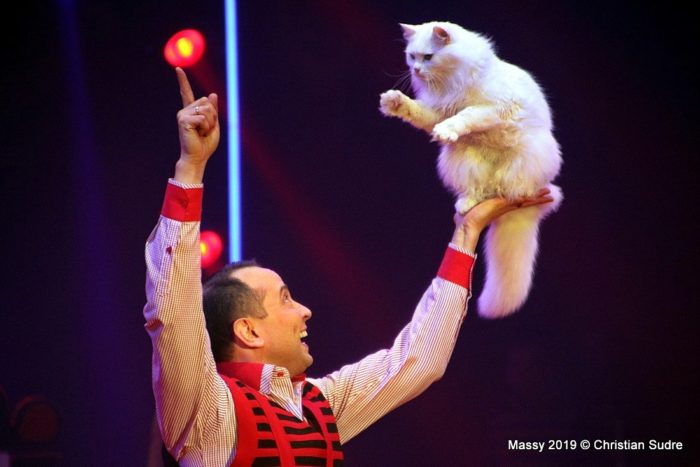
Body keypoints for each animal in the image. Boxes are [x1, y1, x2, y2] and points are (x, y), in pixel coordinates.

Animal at [380, 21, 560, 318]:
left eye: (427, 57)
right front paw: (394, 101)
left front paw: (447, 130)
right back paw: (467, 204)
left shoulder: (489, 109)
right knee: (480, 190)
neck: (451, 82)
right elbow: (419, 112)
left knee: (501, 189)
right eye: (411, 56)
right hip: (463, 159)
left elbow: (465, 116)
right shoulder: (436, 111)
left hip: (524, 162)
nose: (416, 70)